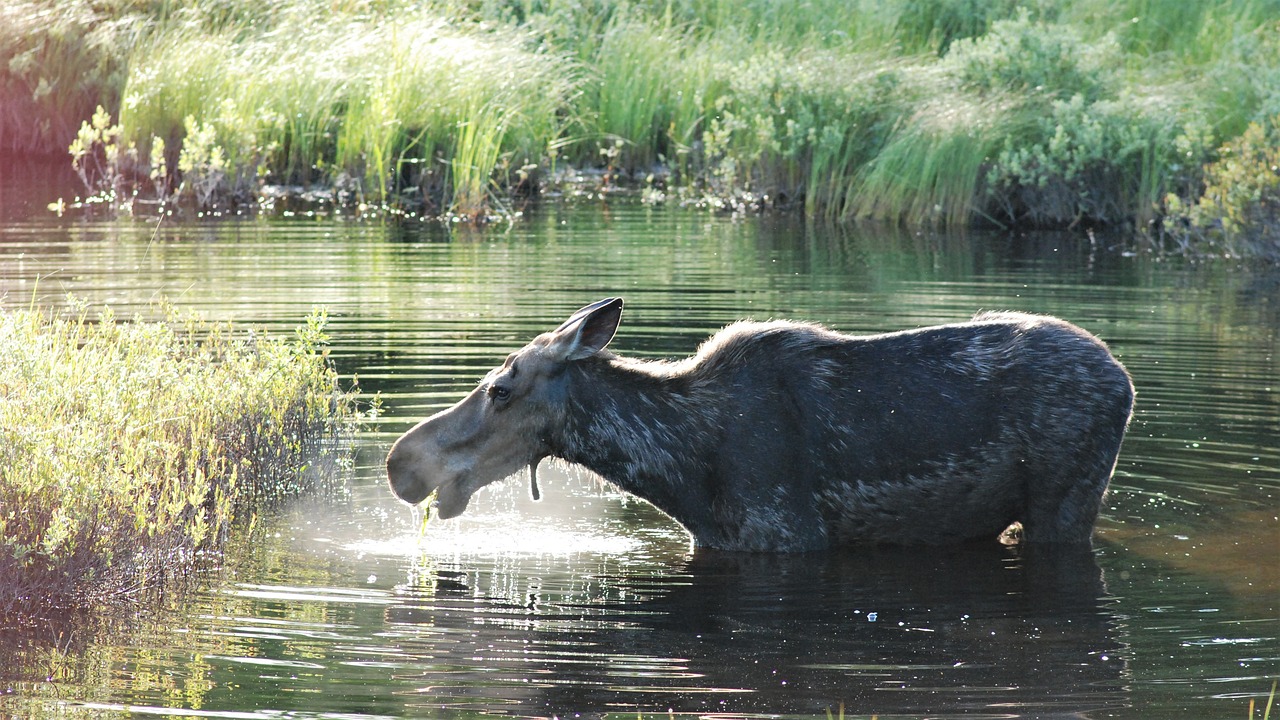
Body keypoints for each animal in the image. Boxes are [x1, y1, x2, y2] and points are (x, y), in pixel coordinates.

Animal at [384, 297, 1136, 548]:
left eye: (502, 388)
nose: (400, 463)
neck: (677, 472)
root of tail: (1124, 380)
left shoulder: (786, 537)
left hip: (1065, 503)